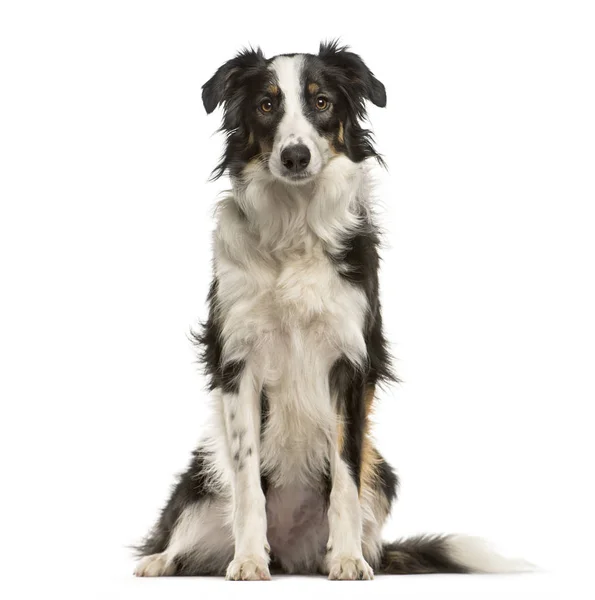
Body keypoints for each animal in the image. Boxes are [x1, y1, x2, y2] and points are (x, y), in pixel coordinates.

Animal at [133, 39, 528, 580]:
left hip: (382, 473)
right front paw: (249, 560)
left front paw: (346, 559)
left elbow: (344, 476)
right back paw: (162, 560)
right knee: (189, 532)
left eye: (321, 102)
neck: (295, 225)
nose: (295, 156)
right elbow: (248, 484)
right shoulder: (238, 362)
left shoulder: (351, 364)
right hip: (201, 480)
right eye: (266, 105)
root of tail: (291, 553)